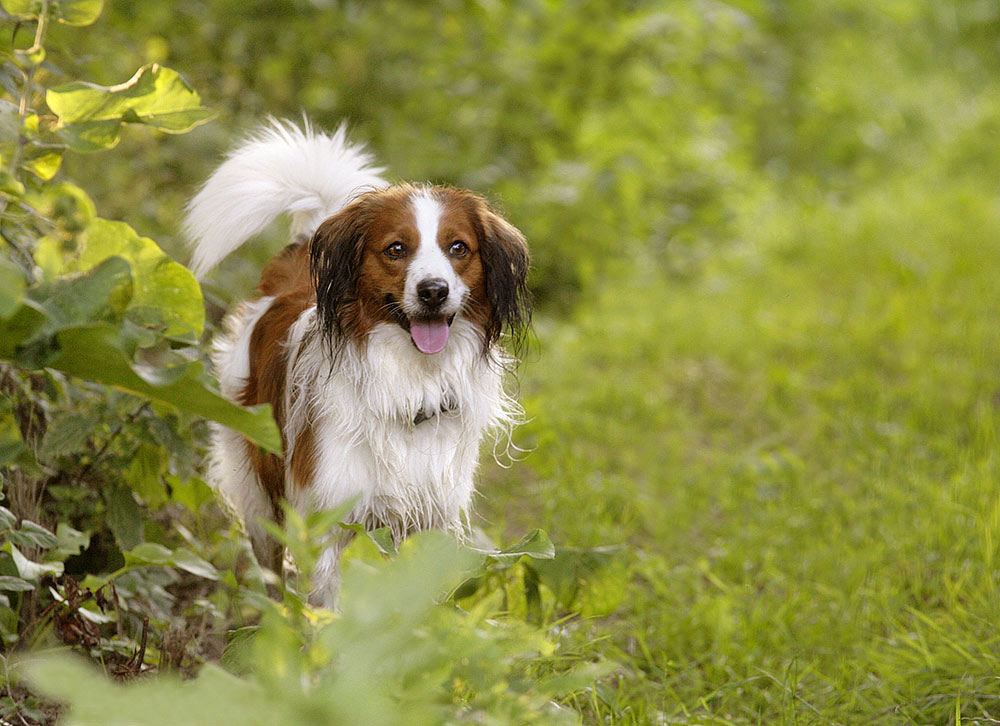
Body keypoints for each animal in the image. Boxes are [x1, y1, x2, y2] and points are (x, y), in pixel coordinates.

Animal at [186, 121, 532, 608]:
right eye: (397, 249)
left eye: (458, 248)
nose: (433, 291)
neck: (411, 380)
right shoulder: (329, 527)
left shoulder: (429, 522)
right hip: (257, 492)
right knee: (272, 577)